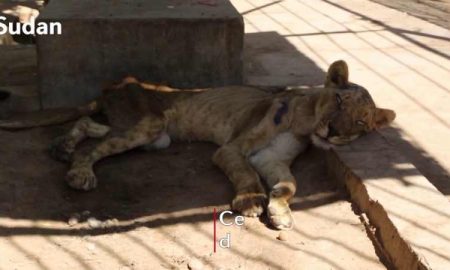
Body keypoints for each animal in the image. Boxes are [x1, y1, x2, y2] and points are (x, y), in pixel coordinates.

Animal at [0, 60, 394, 230]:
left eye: (361, 122)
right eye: (339, 101)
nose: (332, 132)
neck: (303, 123)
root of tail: (116, 84)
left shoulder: (273, 160)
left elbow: (289, 186)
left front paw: (280, 211)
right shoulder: (234, 148)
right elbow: (245, 174)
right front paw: (251, 201)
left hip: (154, 137)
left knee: (86, 125)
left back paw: (61, 148)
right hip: (149, 124)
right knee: (91, 147)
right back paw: (77, 170)